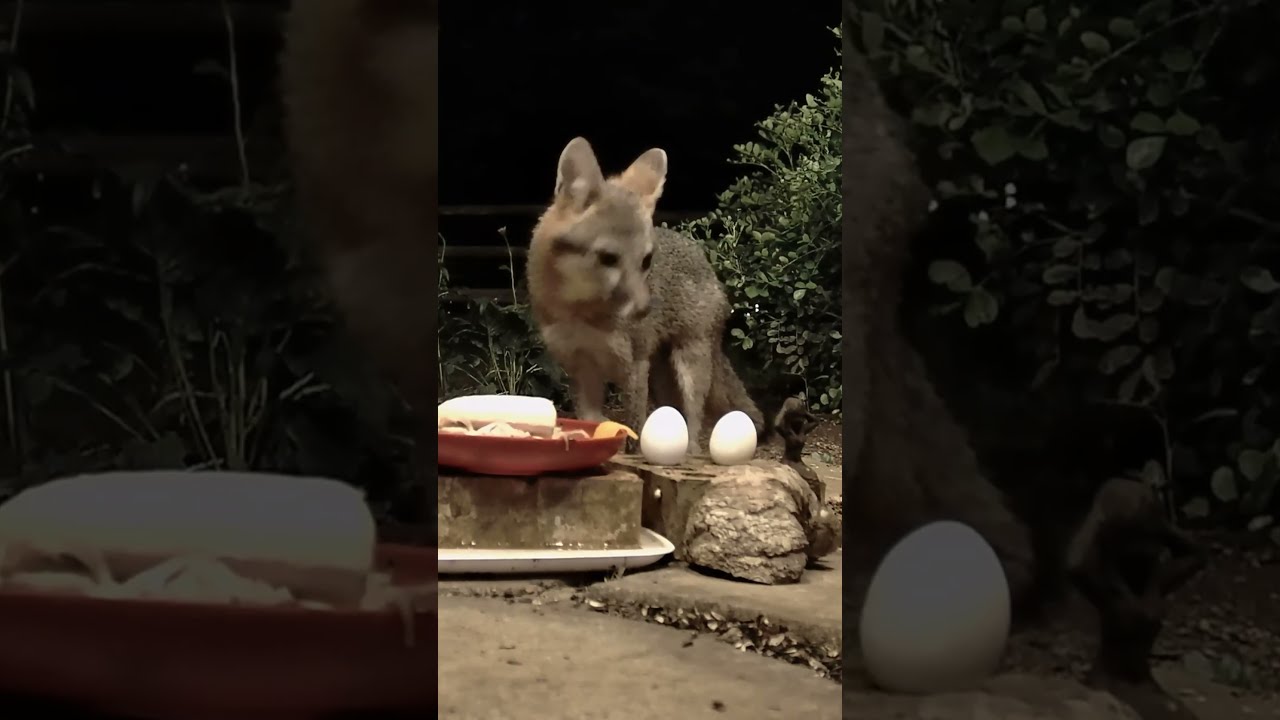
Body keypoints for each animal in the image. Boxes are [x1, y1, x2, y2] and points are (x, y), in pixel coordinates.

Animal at [526, 137, 765, 453]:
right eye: (608, 258)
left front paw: (635, 451)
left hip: (688, 363)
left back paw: (690, 450)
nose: (644, 309)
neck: (582, 314)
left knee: (694, 418)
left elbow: (637, 422)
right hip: (663, 379)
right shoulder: (582, 367)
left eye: (646, 261)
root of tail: (702, 256)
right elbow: (591, 418)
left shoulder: (636, 363)